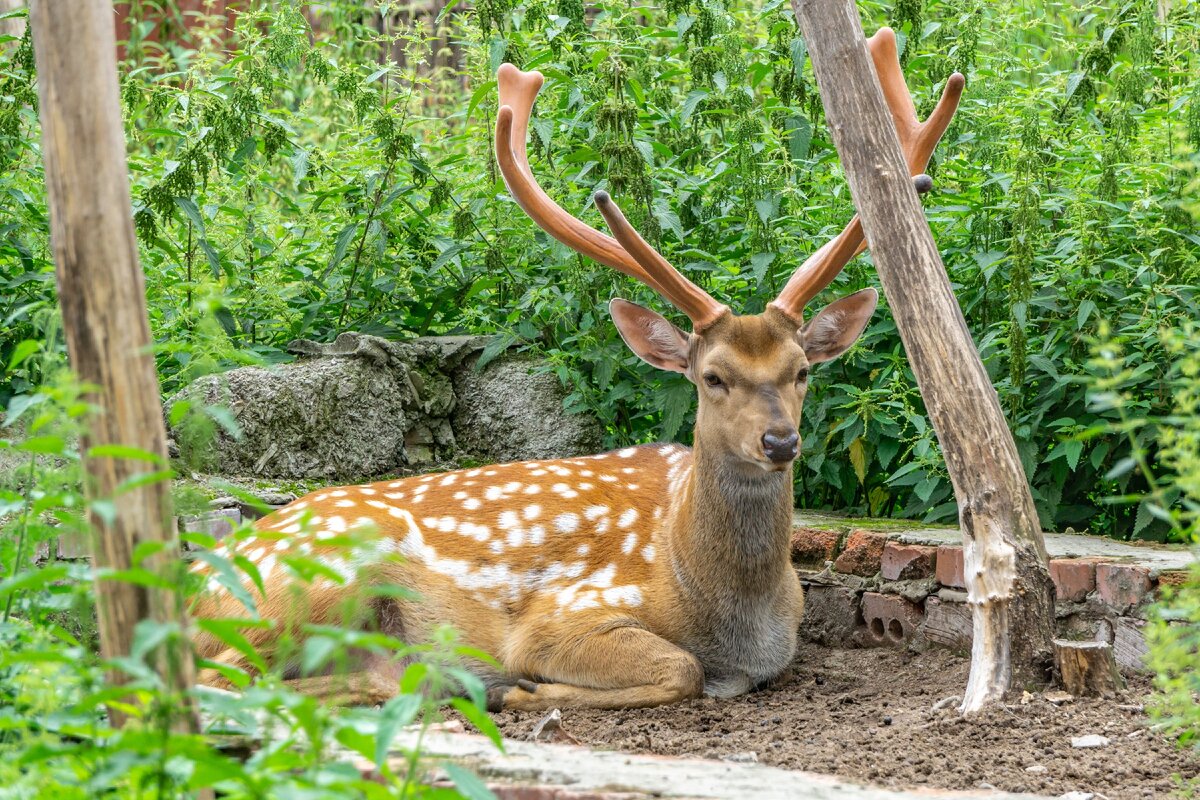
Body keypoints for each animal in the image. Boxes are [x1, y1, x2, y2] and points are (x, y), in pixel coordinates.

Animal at [192, 28, 960, 710]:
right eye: (712, 377)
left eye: (802, 370)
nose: (780, 441)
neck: (728, 612)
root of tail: (194, 575)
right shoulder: (564, 613)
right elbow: (679, 670)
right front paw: (527, 688)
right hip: (311, 576)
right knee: (218, 677)